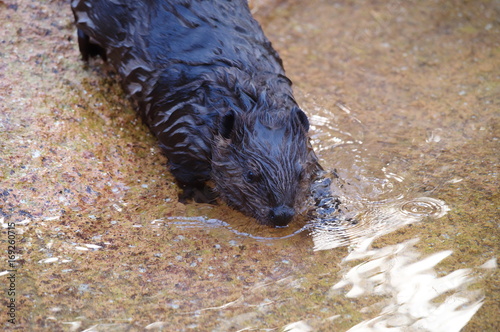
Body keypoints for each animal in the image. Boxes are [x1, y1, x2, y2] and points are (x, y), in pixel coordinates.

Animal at [72, 0, 324, 226]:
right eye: (251, 175)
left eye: (300, 173)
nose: (282, 214)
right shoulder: (178, 124)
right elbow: (183, 170)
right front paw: (202, 195)